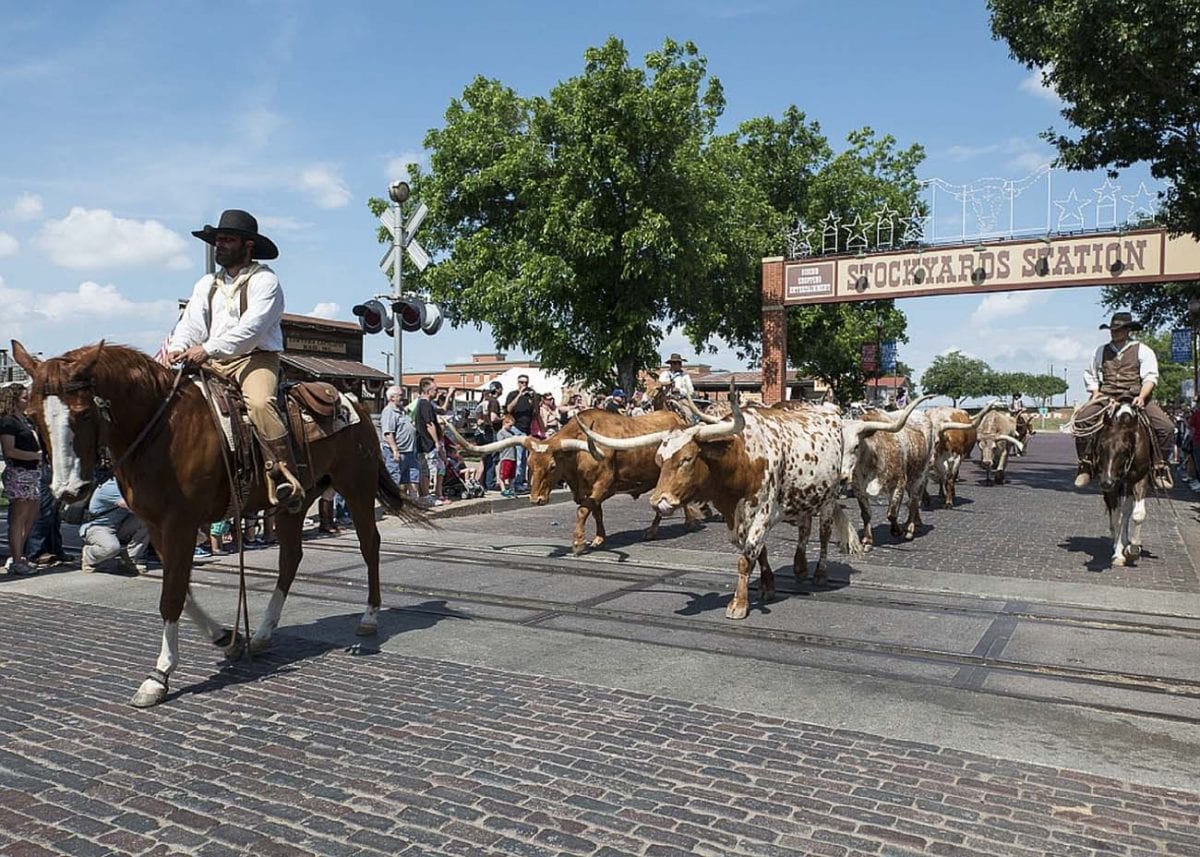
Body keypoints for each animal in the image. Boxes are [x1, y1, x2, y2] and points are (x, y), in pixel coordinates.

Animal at [9, 336, 420, 705]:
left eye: (83, 413)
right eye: (32, 416)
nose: (67, 490)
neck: (161, 430)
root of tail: (352, 403)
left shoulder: (179, 523)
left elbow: (171, 597)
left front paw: (159, 676)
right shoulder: (159, 526)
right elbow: (182, 590)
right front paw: (225, 638)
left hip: (357, 488)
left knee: (369, 545)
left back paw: (369, 617)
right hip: (296, 502)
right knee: (290, 559)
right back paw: (263, 633)